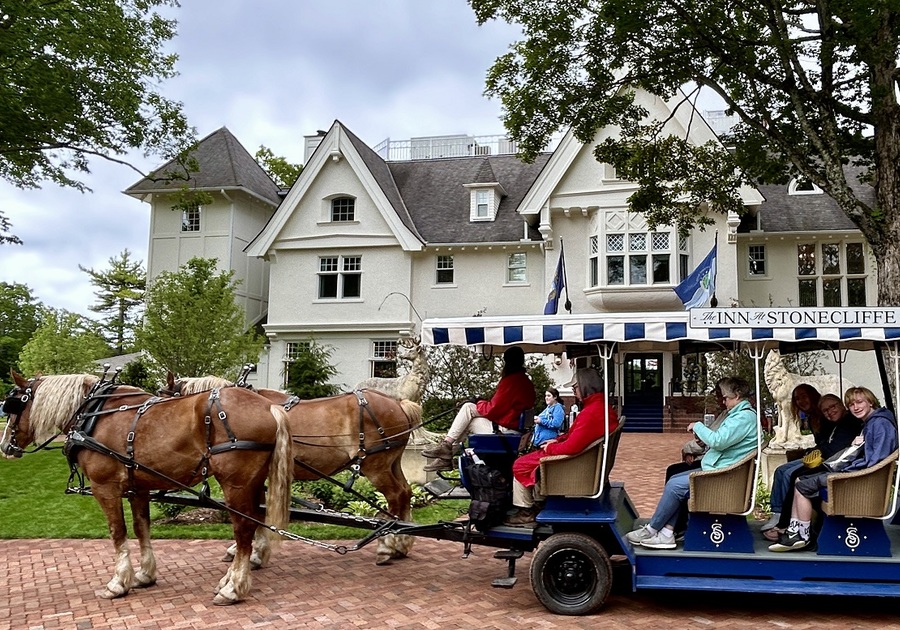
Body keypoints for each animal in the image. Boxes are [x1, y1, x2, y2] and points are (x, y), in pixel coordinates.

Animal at [0, 372, 292, 604]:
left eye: (13, 407)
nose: (5, 447)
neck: (94, 415)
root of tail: (270, 407)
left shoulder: (104, 487)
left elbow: (117, 531)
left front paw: (118, 583)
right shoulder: (137, 487)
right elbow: (141, 528)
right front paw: (144, 575)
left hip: (236, 484)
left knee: (243, 529)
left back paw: (233, 588)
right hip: (254, 482)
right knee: (255, 520)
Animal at [173, 376, 426, 568]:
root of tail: (399, 404)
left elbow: (254, 514)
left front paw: (249, 551)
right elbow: (257, 512)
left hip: (376, 467)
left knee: (395, 496)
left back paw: (388, 546)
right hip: (392, 463)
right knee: (406, 493)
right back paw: (402, 544)